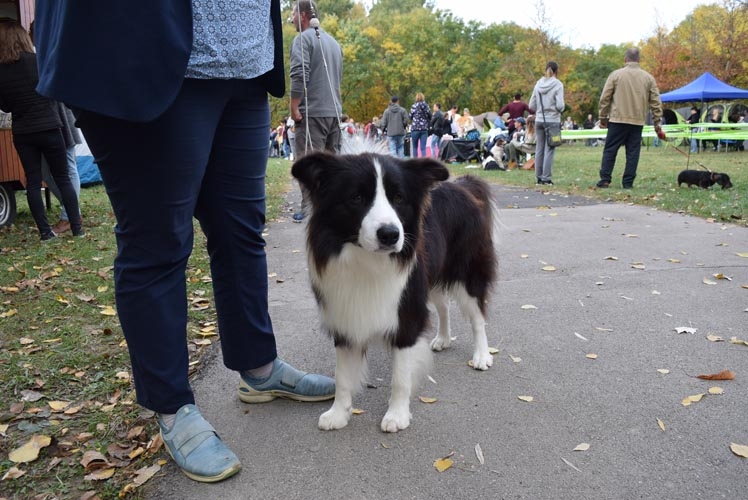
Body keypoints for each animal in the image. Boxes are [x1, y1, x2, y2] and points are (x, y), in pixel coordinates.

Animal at [290, 146, 496, 434]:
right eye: (356, 198)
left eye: (399, 198)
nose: (390, 234)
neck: (367, 261)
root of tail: (464, 186)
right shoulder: (345, 314)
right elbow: (342, 376)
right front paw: (338, 413)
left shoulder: (407, 314)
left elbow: (400, 376)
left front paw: (397, 415)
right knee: (443, 306)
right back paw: (443, 339)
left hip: (467, 272)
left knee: (477, 316)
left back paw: (481, 355)